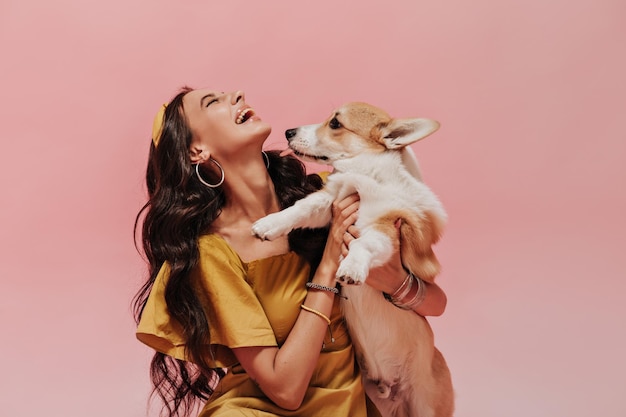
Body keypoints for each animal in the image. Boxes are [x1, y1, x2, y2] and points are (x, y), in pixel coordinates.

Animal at [251, 101, 450, 416]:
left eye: (335, 123)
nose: (288, 132)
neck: (366, 174)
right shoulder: (329, 204)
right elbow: (299, 210)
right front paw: (270, 224)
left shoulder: (384, 230)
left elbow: (362, 245)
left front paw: (353, 268)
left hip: (425, 405)